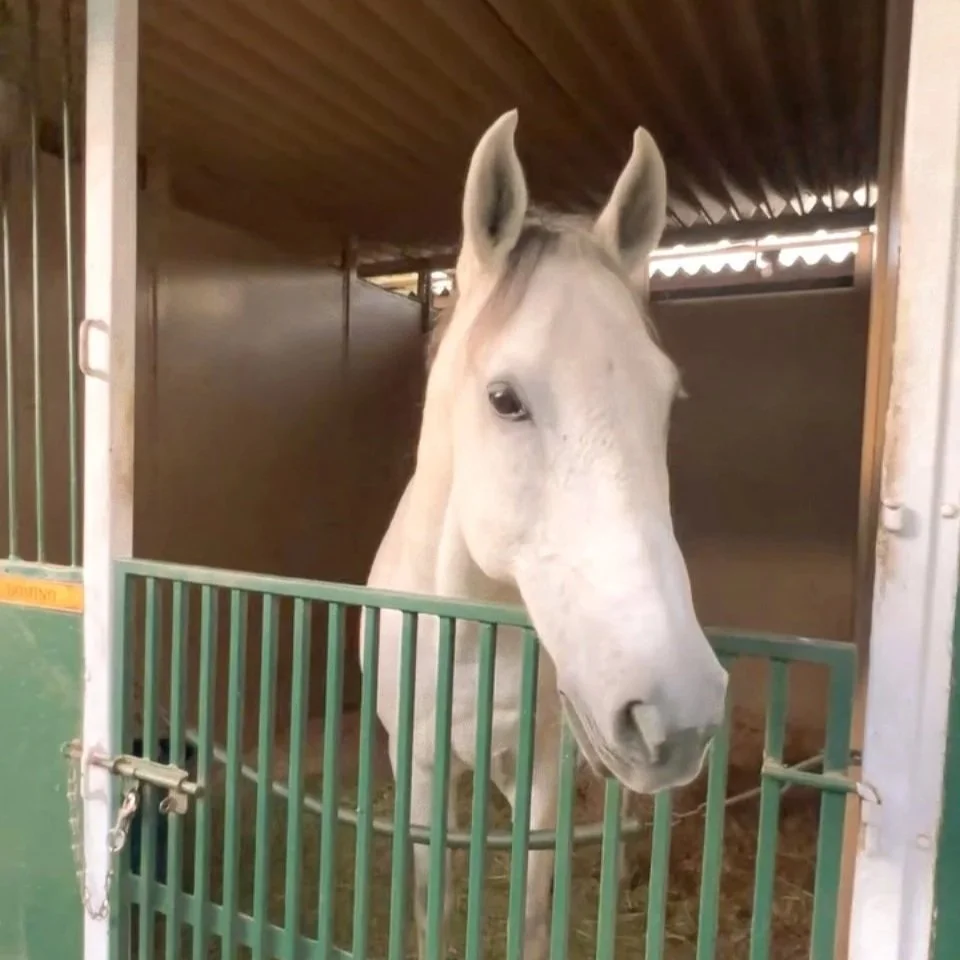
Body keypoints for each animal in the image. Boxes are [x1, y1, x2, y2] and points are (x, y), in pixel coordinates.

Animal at [359, 109, 729, 960]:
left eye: (666, 397)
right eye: (505, 399)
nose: (679, 708)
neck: (470, 635)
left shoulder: (542, 768)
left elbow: (531, 904)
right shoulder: (419, 765)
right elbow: (432, 900)